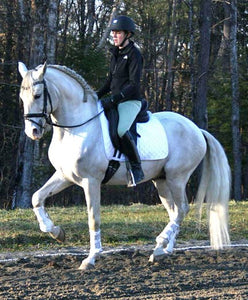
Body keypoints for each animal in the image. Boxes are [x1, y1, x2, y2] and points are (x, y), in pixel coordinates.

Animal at [17, 62, 231, 270]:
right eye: (22, 97)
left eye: (37, 95)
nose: (32, 131)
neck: (77, 127)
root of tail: (197, 129)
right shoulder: (64, 176)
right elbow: (37, 198)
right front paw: (55, 232)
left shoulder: (91, 181)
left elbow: (93, 218)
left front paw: (91, 258)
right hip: (161, 180)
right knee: (175, 211)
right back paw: (162, 250)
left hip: (176, 178)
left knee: (182, 209)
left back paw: (160, 244)